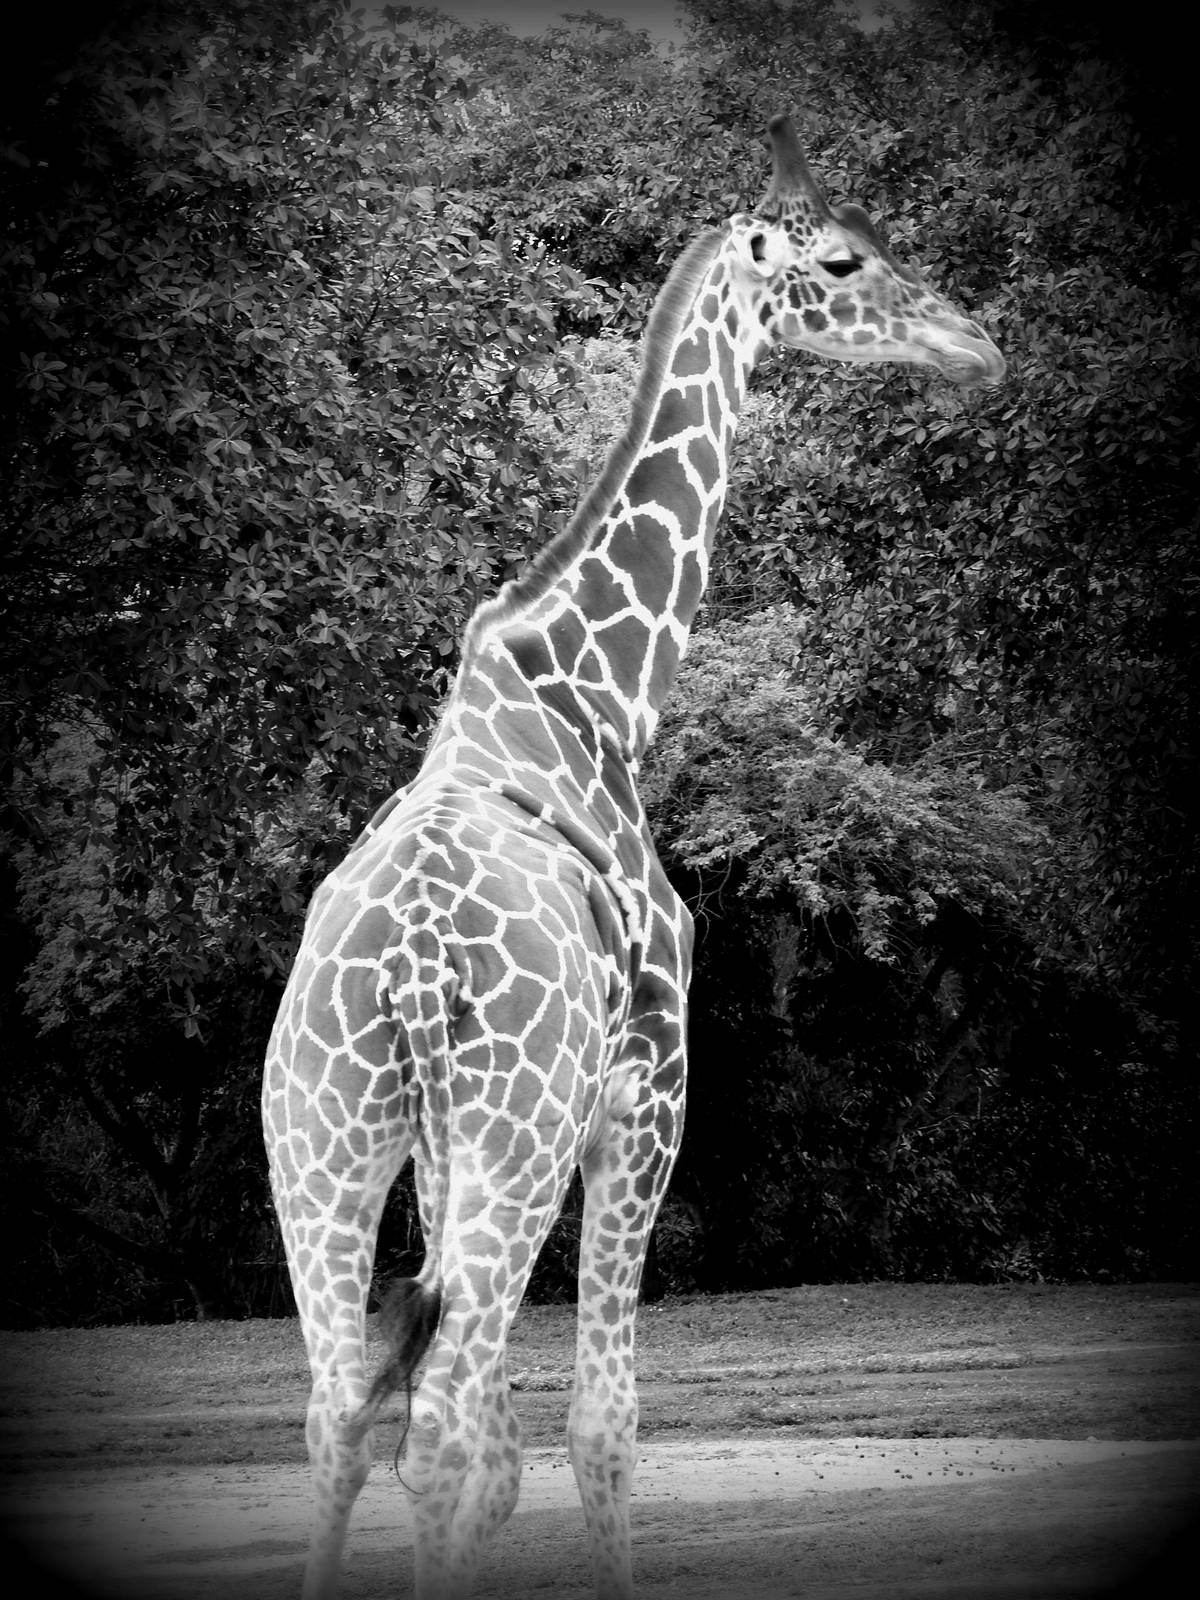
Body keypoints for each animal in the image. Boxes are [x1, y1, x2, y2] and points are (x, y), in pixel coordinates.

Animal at [262, 115, 1004, 1600]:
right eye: (847, 258)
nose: (978, 347)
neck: (596, 693)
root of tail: (407, 973)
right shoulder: (652, 1095)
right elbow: (598, 1427)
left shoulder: (456, 1150)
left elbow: (493, 1458)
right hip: (515, 1135)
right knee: (440, 1420)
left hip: (327, 1138)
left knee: (343, 1417)